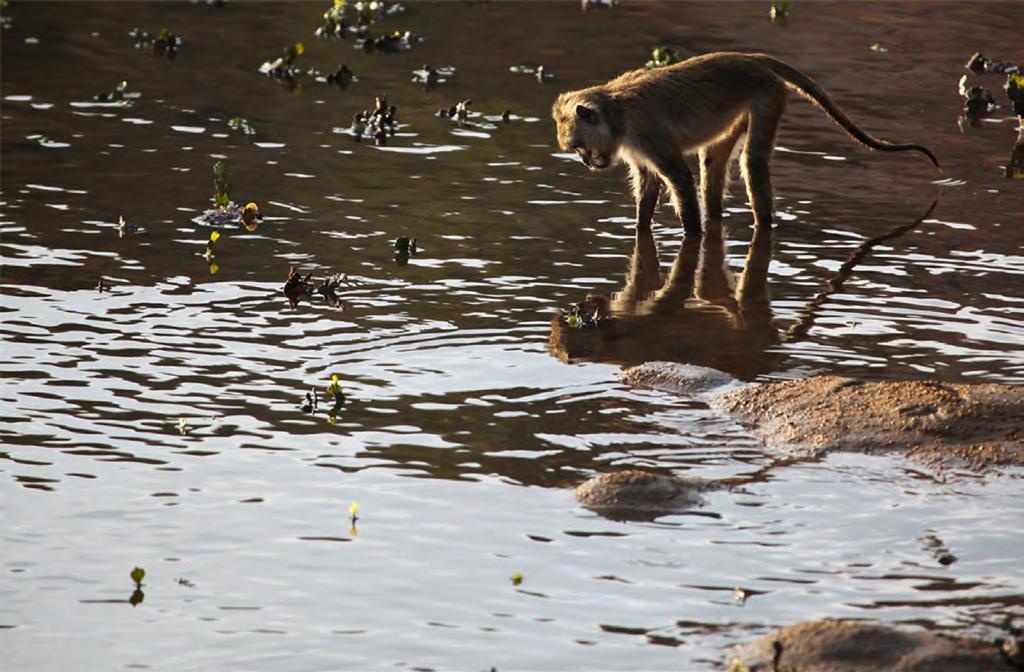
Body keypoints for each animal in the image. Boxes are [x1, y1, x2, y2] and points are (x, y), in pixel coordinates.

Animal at [557, 51, 937, 236]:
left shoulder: (645, 131)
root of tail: (751, 59)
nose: (588, 162)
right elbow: (650, 184)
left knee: (751, 161)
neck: (615, 111)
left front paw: (692, 238)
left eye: (579, 147)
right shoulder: (634, 145)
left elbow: (678, 178)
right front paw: (639, 231)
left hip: (767, 94)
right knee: (713, 164)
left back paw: (763, 224)